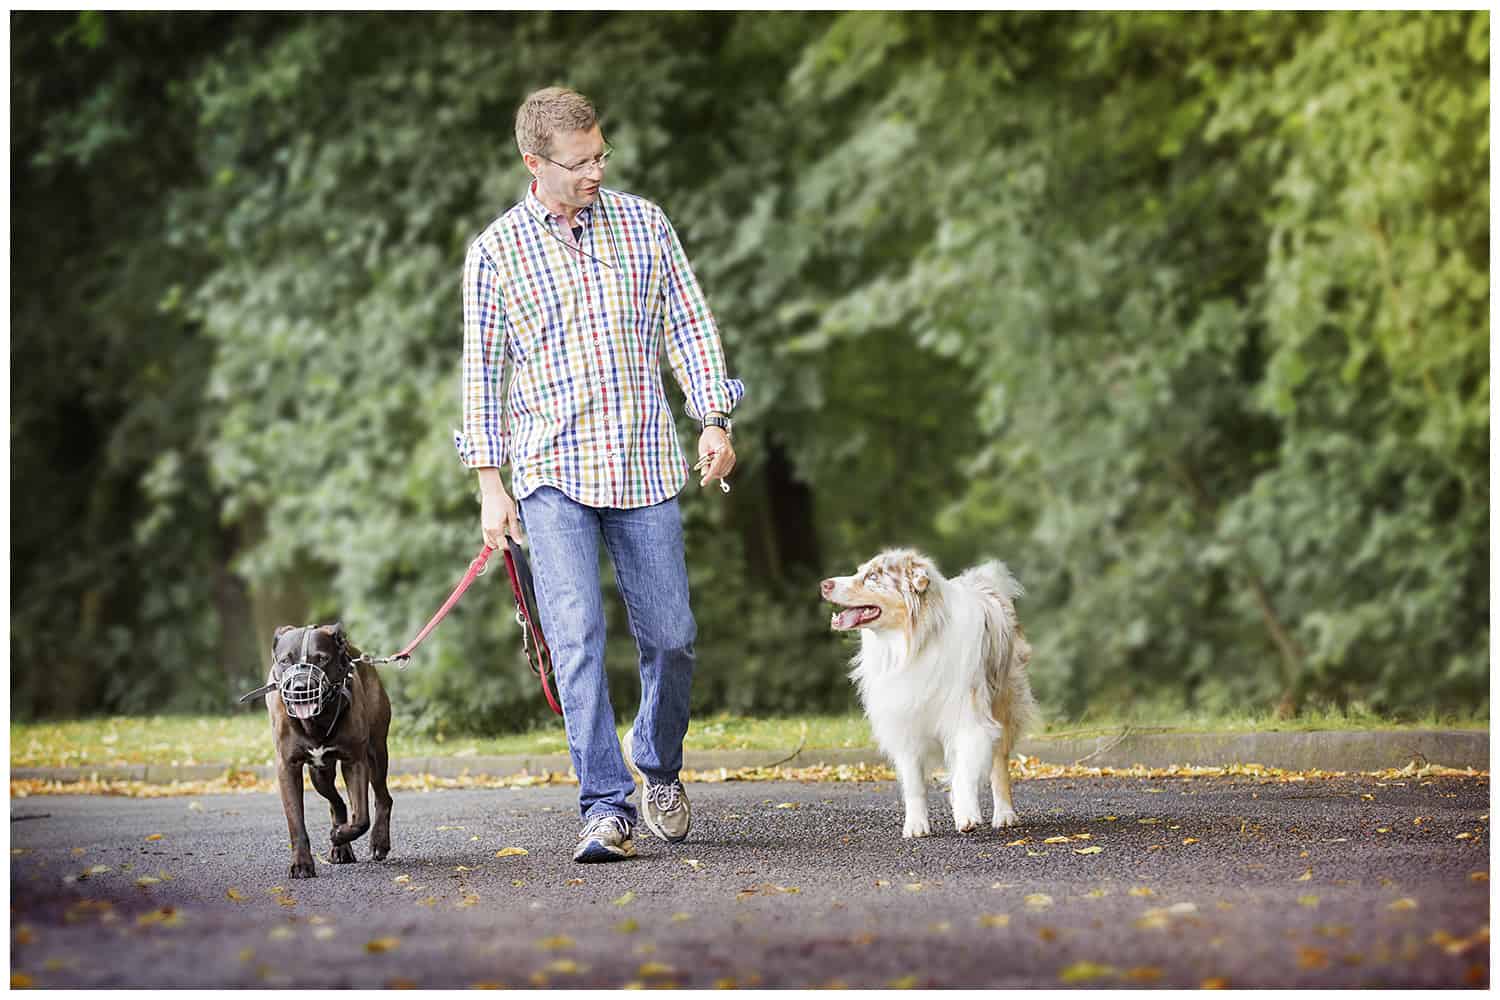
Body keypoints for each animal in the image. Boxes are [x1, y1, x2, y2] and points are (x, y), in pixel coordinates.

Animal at [244, 620, 393, 881]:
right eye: (285, 660)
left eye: (322, 658)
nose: (301, 686)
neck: (316, 721)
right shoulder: (288, 767)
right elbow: (296, 821)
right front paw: (302, 863)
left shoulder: (355, 761)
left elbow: (362, 818)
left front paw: (341, 835)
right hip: (319, 773)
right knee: (337, 804)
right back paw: (341, 846)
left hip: (376, 754)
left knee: (383, 798)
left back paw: (377, 842)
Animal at [828, 551, 1038, 839]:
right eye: (859, 571)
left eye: (872, 576)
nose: (824, 585)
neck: (913, 643)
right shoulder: (905, 722)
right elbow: (914, 781)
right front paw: (916, 824)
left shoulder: (968, 718)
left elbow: (965, 773)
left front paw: (967, 814)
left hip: (1005, 703)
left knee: (998, 763)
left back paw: (1004, 814)